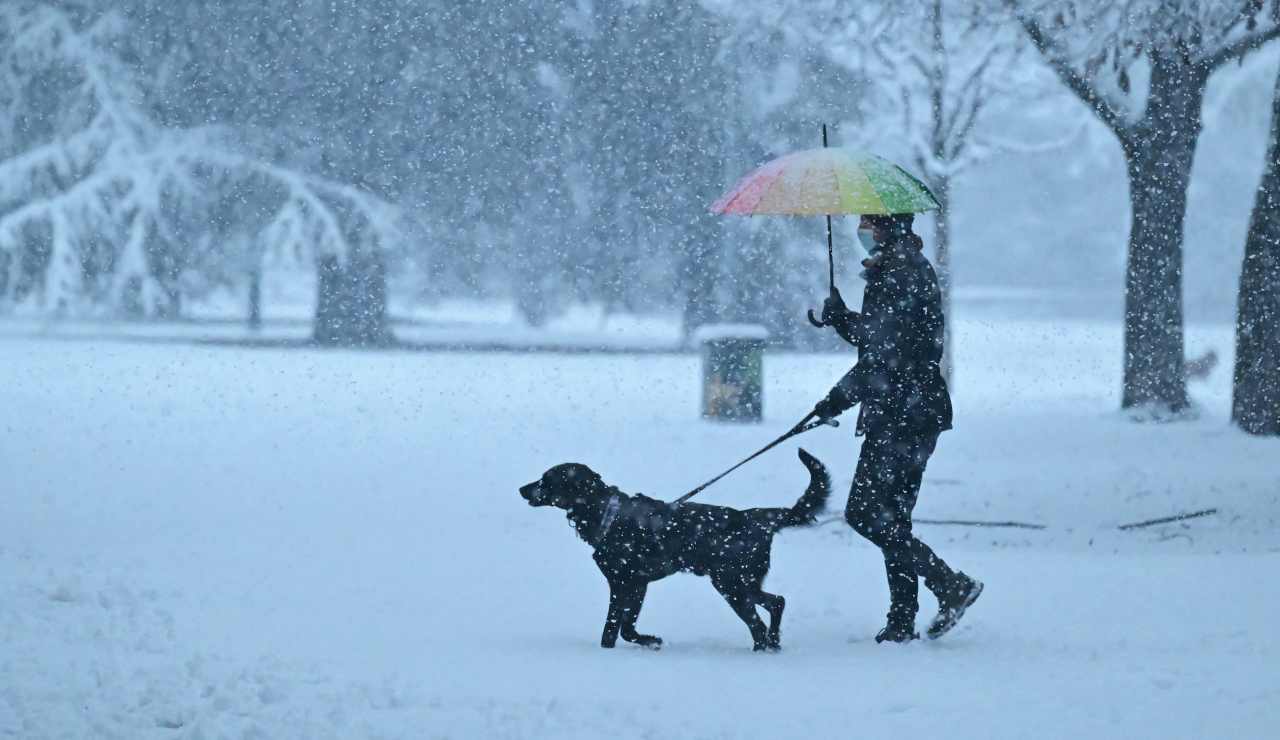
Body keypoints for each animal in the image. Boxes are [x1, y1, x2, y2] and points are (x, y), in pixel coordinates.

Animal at [517, 445, 829, 647]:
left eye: (546, 480)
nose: (521, 489)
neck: (605, 512)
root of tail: (753, 517)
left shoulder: (623, 582)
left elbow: (614, 629)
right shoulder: (637, 584)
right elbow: (624, 627)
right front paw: (646, 641)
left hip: (731, 584)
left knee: (760, 621)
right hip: (742, 583)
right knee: (776, 603)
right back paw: (773, 644)